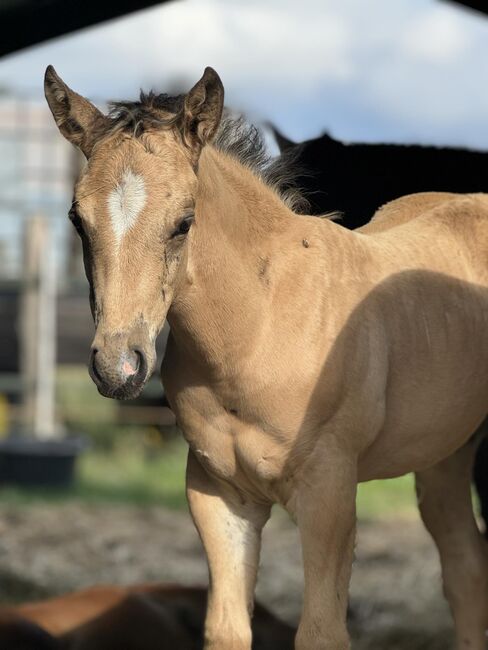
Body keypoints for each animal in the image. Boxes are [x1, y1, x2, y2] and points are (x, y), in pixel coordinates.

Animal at [45, 67, 488, 648]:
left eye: (183, 221)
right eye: (77, 219)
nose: (119, 368)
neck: (260, 328)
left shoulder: (328, 494)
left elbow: (321, 632)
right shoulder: (219, 497)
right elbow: (227, 628)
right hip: (444, 454)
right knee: (465, 568)